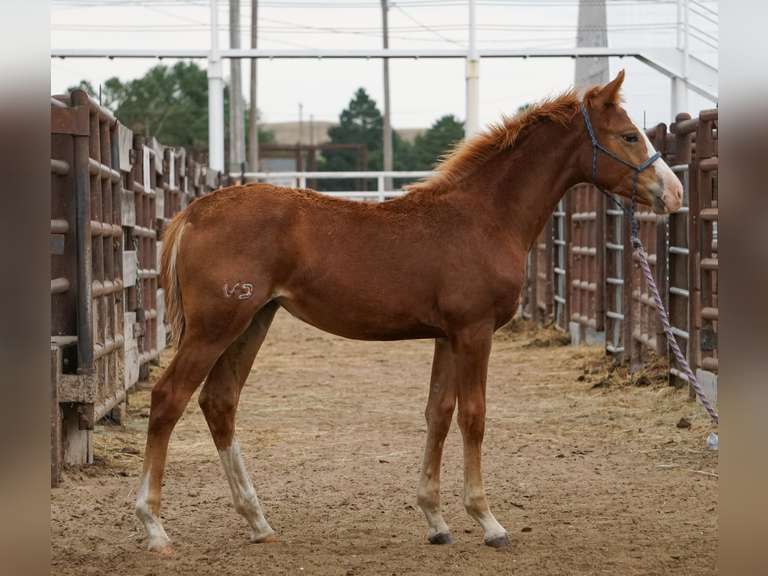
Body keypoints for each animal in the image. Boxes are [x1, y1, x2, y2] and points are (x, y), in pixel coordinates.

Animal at [135, 70, 683, 553]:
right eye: (628, 135)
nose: (674, 193)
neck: (484, 217)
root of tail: (194, 213)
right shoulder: (474, 331)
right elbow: (474, 416)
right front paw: (488, 522)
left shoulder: (446, 335)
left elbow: (438, 413)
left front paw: (436, 522)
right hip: (215, 326)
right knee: (168, 399)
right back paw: (155, 527)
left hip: (253, 321)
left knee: (219, 402)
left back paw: (257, 522)